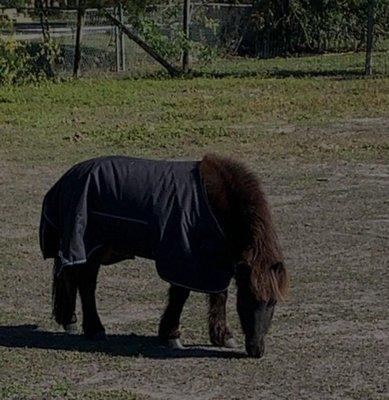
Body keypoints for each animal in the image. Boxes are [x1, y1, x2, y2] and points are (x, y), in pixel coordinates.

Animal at [40, 155, 288, 358]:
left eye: (273, 302)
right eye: (248, 299)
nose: (256, 350)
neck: (212, 202)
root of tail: (66, 178)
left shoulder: (215, 261)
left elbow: (219, 294)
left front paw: (222, 336)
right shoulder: (183, 255)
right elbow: (180, 294)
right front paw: (171, 335)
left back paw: (70, 321)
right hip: (89, 247)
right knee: (86, 284)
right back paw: (95, 329)